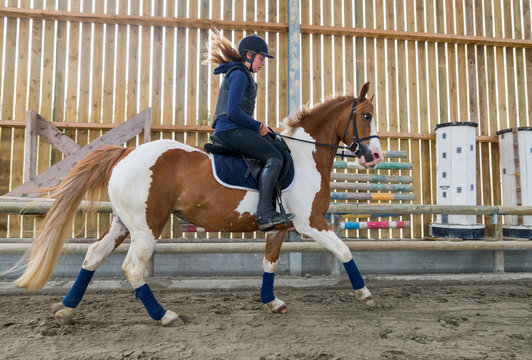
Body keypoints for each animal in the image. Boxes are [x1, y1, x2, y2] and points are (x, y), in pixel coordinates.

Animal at [11, 81, 382, 326]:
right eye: (366, 116)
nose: (375, 156)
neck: (305, 156)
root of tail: (126, 152)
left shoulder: (280, 225)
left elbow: (269, 263)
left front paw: (272, 303)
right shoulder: (310, 222)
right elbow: (344, 250)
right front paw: (364, 294)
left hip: (123, 223)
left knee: (93, 255)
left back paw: (67, 310)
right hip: (146, 226)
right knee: (132, 268)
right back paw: (164, 315)